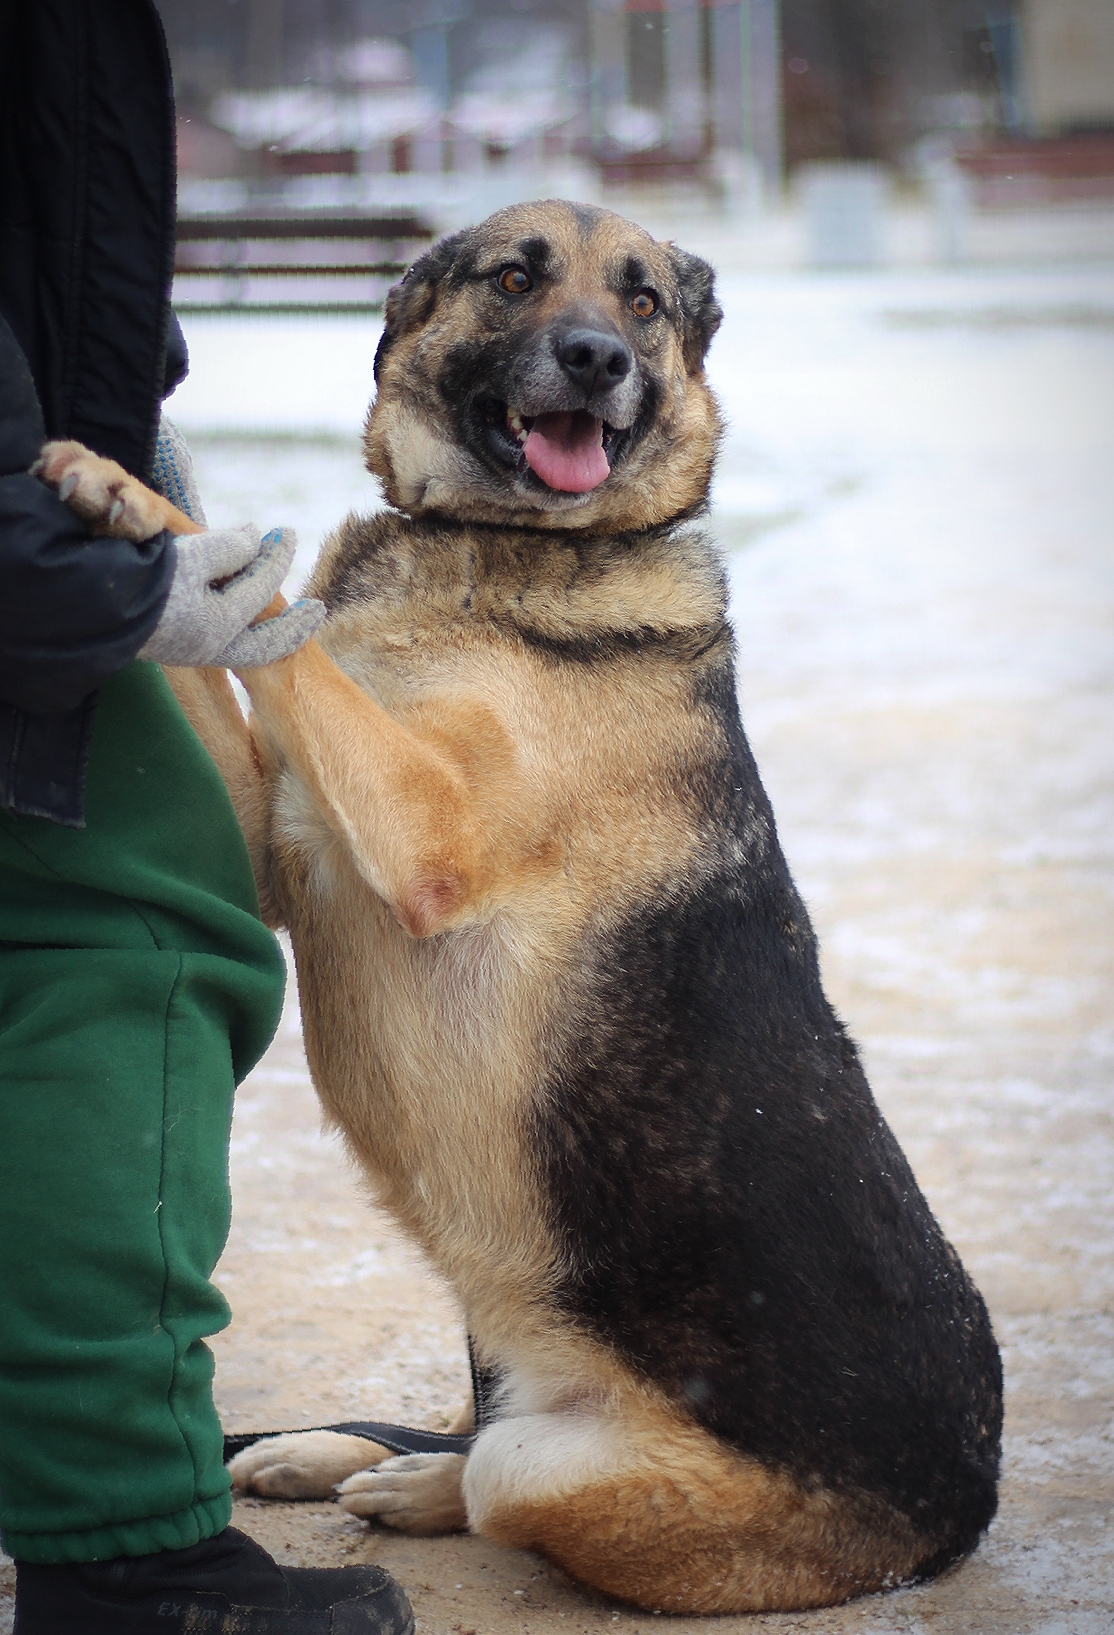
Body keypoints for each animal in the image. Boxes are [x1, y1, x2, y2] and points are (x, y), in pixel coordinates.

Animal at [38, 199, 1002, 1615]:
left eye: (643, 303)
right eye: (511, 280)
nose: (596, 359)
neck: (514, 546)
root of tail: (966, 1504)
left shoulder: (416, 831)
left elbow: (285, 624)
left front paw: (129, 494)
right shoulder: (285, 840)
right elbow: (252, 654)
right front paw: (159, 551)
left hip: (547, 1464)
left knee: (494, 1480)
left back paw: (408, 1482)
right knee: (464, 1432)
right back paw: (354, 1462)